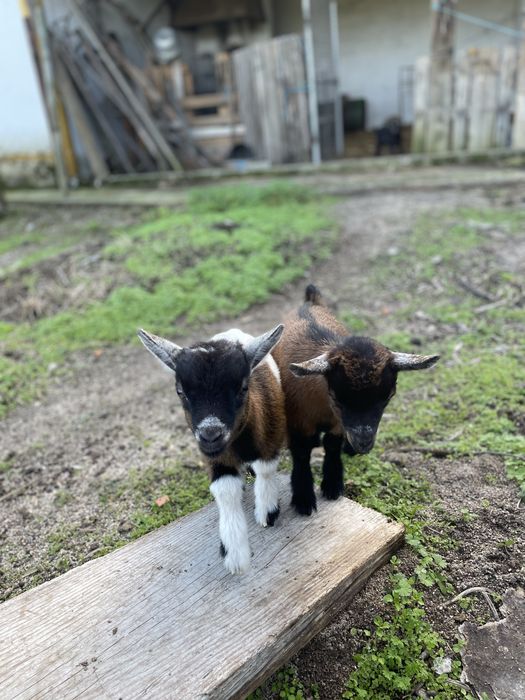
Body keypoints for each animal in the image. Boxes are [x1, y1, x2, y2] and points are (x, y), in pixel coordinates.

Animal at [138, 325, 286, 574]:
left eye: (243, 387)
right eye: (180, 391)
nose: (210, 435)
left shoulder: (271, 440)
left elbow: (266, 471)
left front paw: (267, 512)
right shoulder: (218, 459)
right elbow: (225, 490)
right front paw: (234, 554)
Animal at [272, 285, 439, 516]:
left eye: (388, 397)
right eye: (337, 398)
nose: (363, 443)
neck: (322, 406)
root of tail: (309, 301)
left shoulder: (339, 424)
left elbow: (332, 445)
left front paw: (333, 484)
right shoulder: (298, 422)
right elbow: (301, 454)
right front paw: (303, 498)